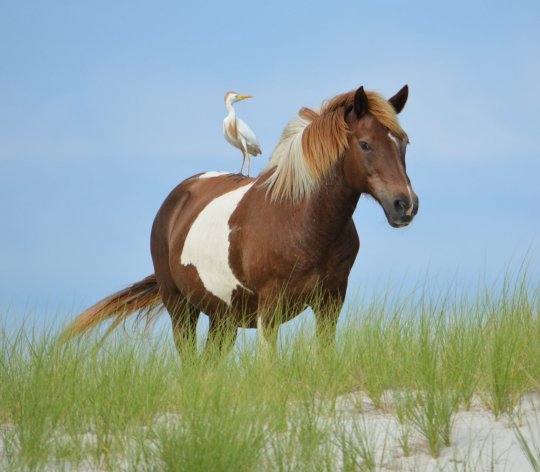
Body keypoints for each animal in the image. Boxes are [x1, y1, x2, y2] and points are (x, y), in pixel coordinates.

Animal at [63, 85, 418, 354]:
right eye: (366, 144)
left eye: (403, 143)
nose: (405, 205)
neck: (303, 221)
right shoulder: (269, 309)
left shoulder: (331, 302)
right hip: (180, 307)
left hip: (222, 320)